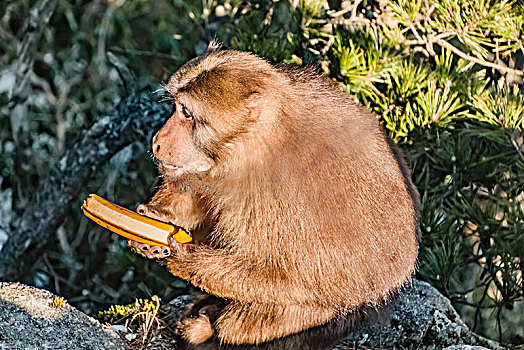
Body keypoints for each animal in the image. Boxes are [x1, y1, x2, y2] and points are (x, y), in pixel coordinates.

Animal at [129, 45, 420, 346]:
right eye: (177, 107)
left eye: (186, 113)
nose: (158, 141)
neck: (257, 144)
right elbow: (197, 189)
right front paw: (157, 219)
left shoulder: (278, 199)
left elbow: (290, 278)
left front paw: (186, 257)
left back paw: (209, 325)